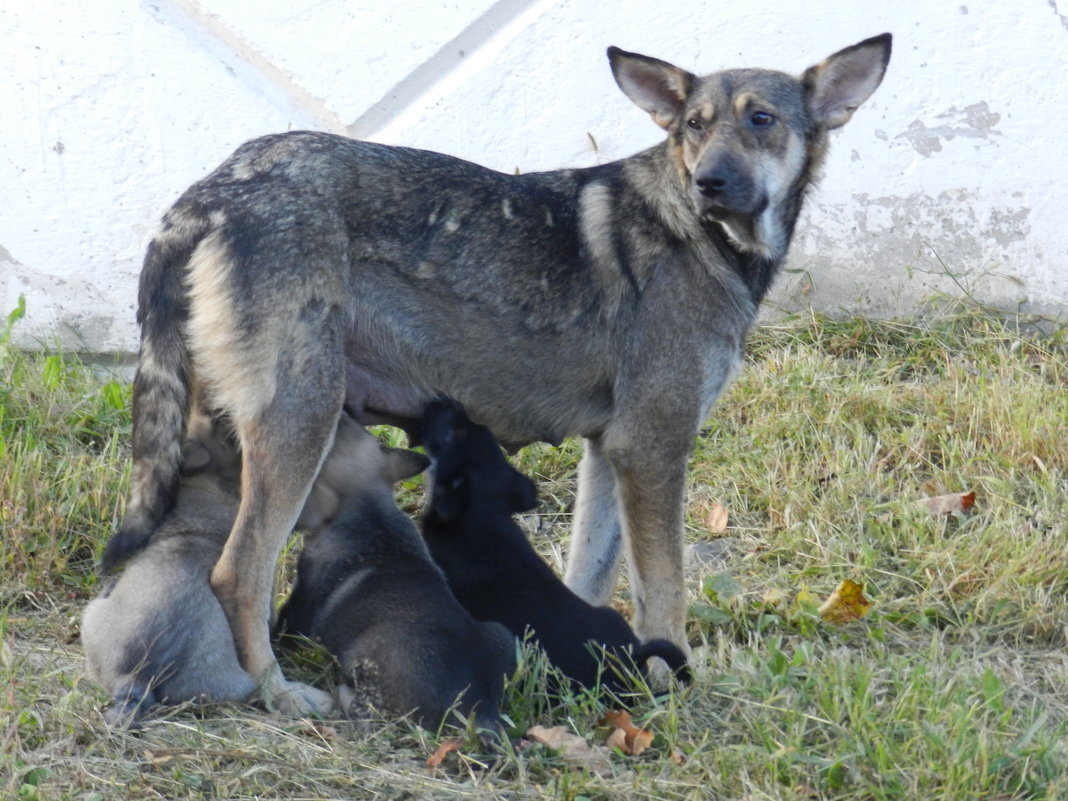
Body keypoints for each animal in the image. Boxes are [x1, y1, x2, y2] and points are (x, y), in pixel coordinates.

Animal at [277, 416, 514, 739]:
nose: (342, 413)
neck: (370, 508)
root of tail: (477, 712)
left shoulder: (301, 604)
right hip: (501, 634)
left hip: (366, 670)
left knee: (366, 720)